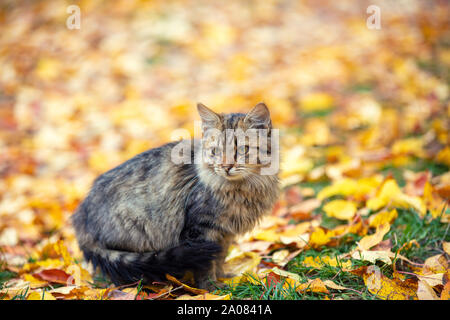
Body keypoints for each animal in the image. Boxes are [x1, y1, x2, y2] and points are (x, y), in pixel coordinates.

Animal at [71, 102, 280, 290]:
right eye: (215, 151)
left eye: (243, 149)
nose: (225, 166)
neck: (241, 189)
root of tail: (82, 214)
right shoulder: (200, 231)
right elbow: (206, 264)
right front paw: (211, 288)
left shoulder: (224, 233)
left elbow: (220, 258)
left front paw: (223, 278)